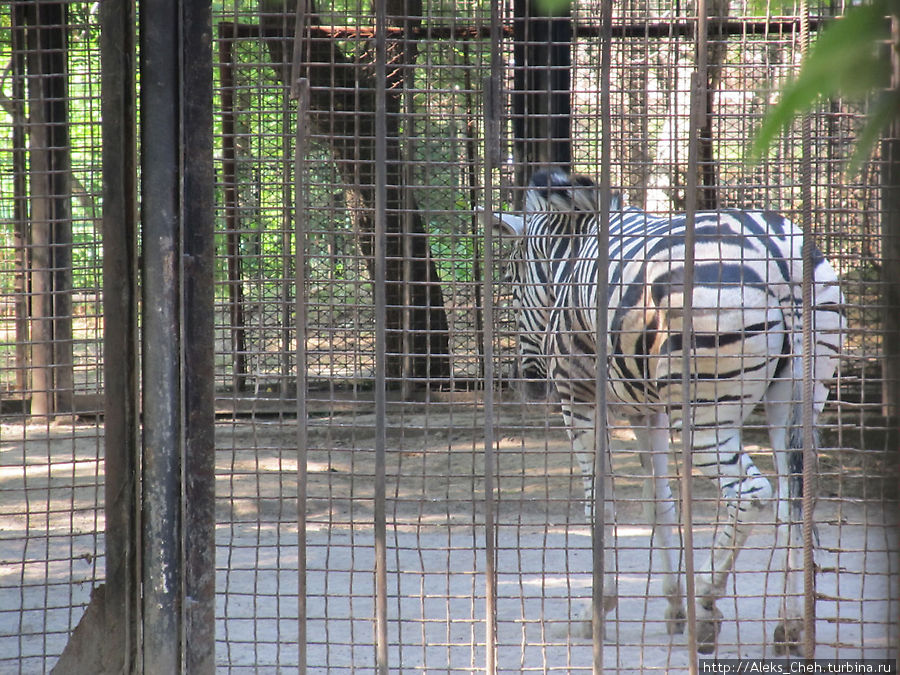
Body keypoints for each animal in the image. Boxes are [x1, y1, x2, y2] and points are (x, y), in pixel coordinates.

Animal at [486, 169, 844, 656]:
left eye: (511, 279)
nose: (527, 382)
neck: (571, 262)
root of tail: (781, 256)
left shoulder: (579, 400)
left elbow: (599, 504)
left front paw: (596, 609)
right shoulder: (647, 412)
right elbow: (660, 502)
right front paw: (672, 604)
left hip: (704, 414)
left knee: (751, 494)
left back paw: (706, 604)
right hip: (797, 398)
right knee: (794, 502)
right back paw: (789, 626)